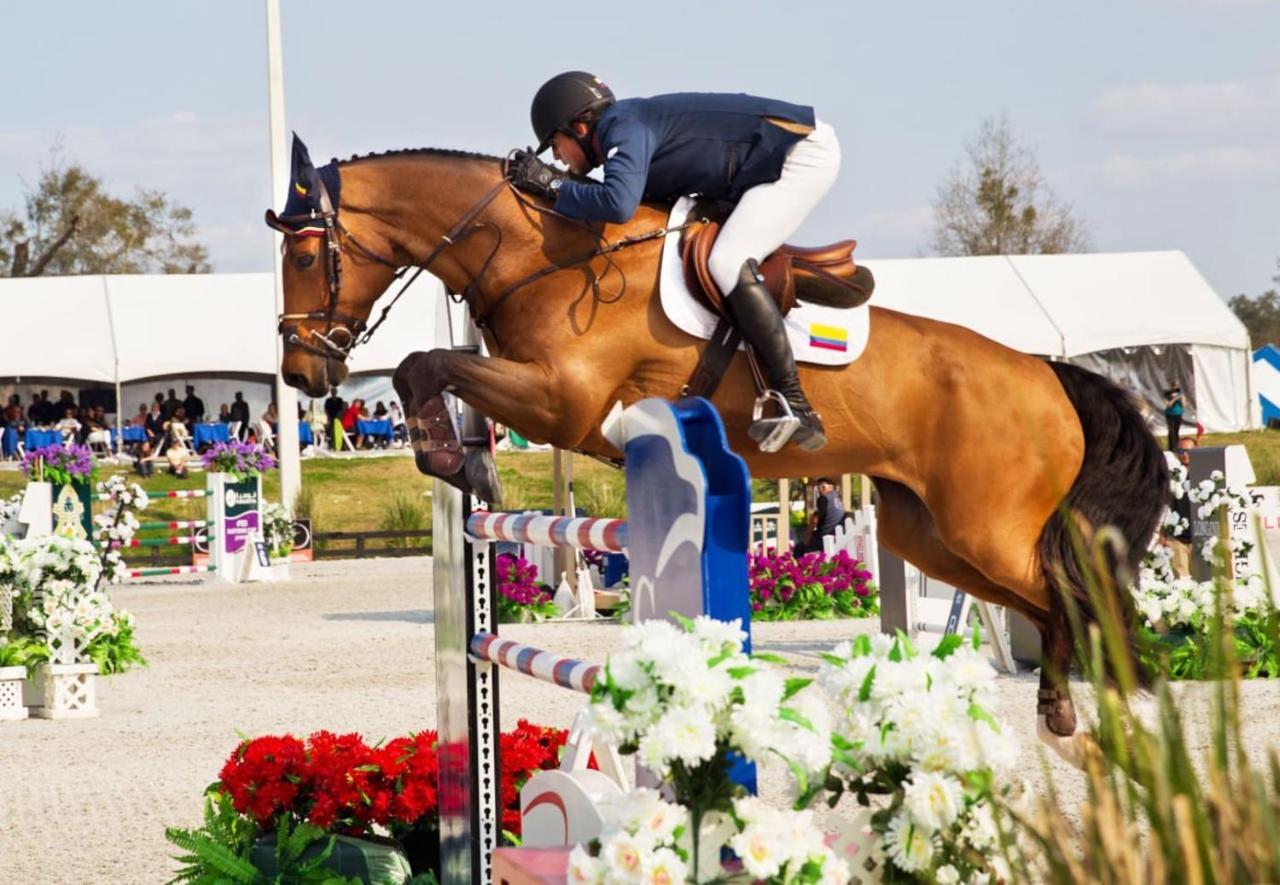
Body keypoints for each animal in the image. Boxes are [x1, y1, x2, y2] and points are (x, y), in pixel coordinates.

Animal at [270, 137, 1172, 763]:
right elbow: (428, 368)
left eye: (307, 254)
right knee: (1053, 604)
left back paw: (1117, 714)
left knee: (1078, 595)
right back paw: (1068, 721)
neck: (540, 255)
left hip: (986, 527)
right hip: (934, 537)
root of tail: (1046, 372)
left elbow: (425, 363)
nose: (301, 372)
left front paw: (454, 456)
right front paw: (464, 457)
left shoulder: (562, 399)